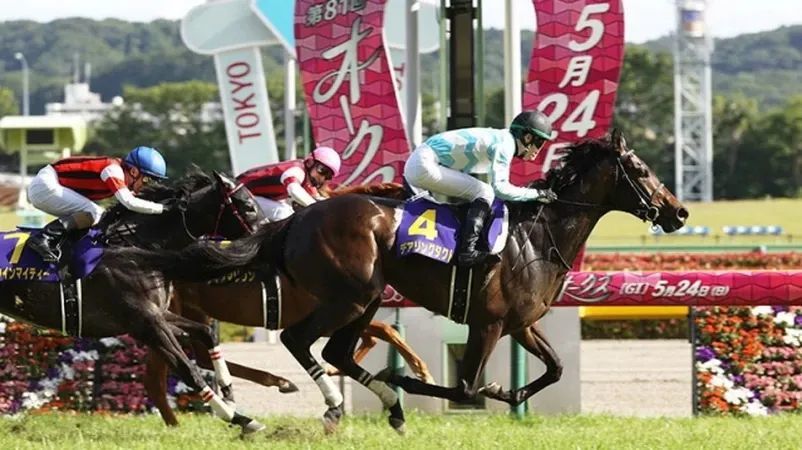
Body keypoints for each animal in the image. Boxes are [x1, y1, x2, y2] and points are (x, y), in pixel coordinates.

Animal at [0, 170, 267, 435]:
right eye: (249, 206)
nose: (269, 235)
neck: (136, 249)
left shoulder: (158, 315)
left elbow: (205, 332)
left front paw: (229, 392)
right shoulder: (146, 324)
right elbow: (188, 370)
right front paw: (240, 418)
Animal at [144, 182, 434, 427]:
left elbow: (381, 332)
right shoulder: (331, 309)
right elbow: (383, 330)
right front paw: (421, 372)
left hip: (193, 311)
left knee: (195, 358)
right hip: (166, 315)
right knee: (160, 376)